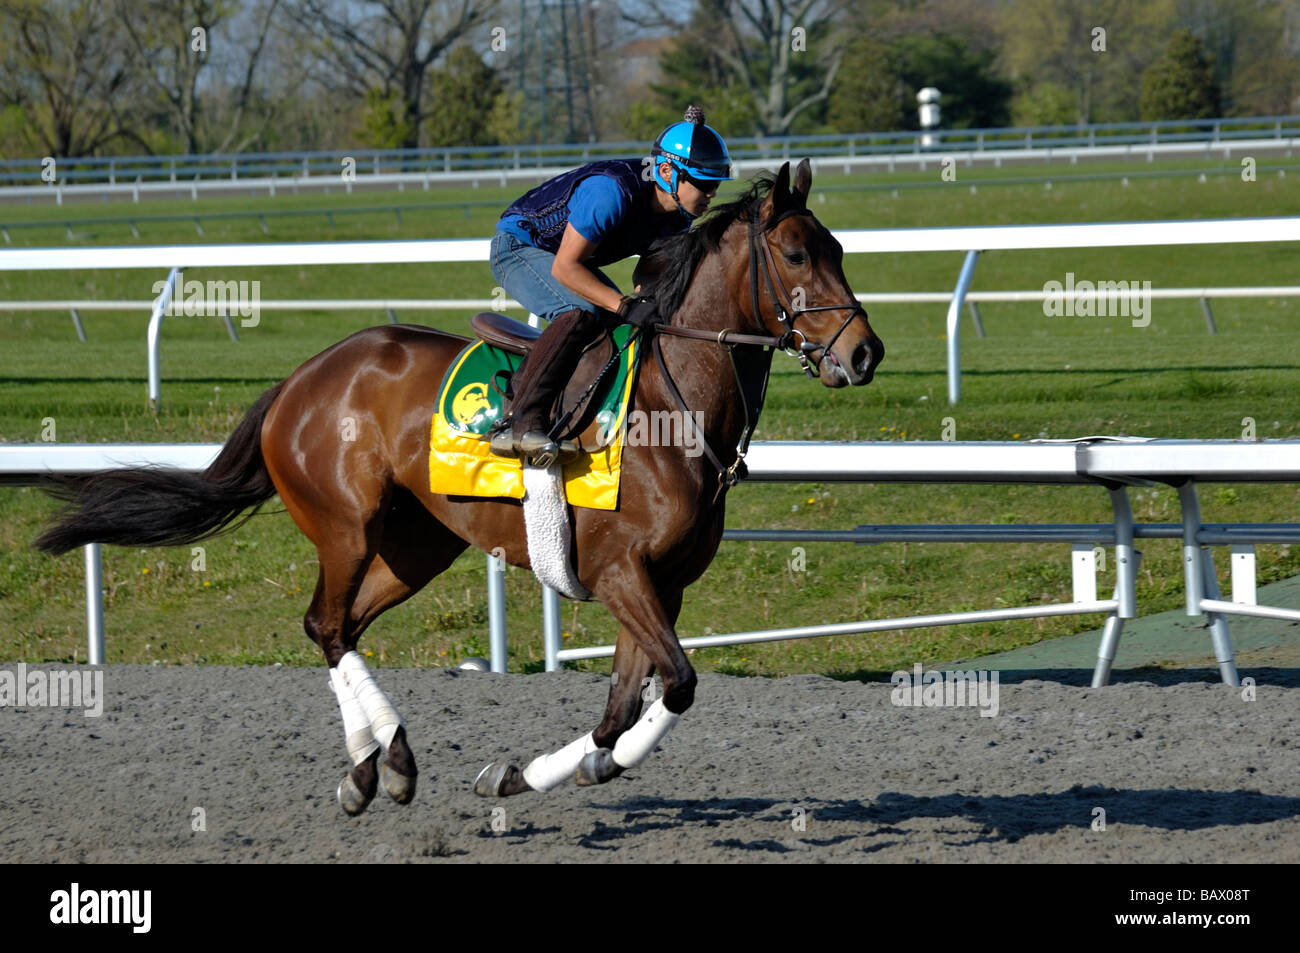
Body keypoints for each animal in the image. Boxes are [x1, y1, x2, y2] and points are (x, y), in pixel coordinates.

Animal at [34, 158, 883, 816]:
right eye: (797, 254)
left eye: (841, 248)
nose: (865, 352)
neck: (671, 408)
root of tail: (299, 378)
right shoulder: (621, 572)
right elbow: (677, 683)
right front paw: (556, 767)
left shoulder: (661, 583)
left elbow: (620, 708)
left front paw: (526, 773)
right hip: (344, 524)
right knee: (325, 623)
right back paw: (381, 764)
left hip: (417, 545)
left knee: (342, 628)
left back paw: (377, 767)